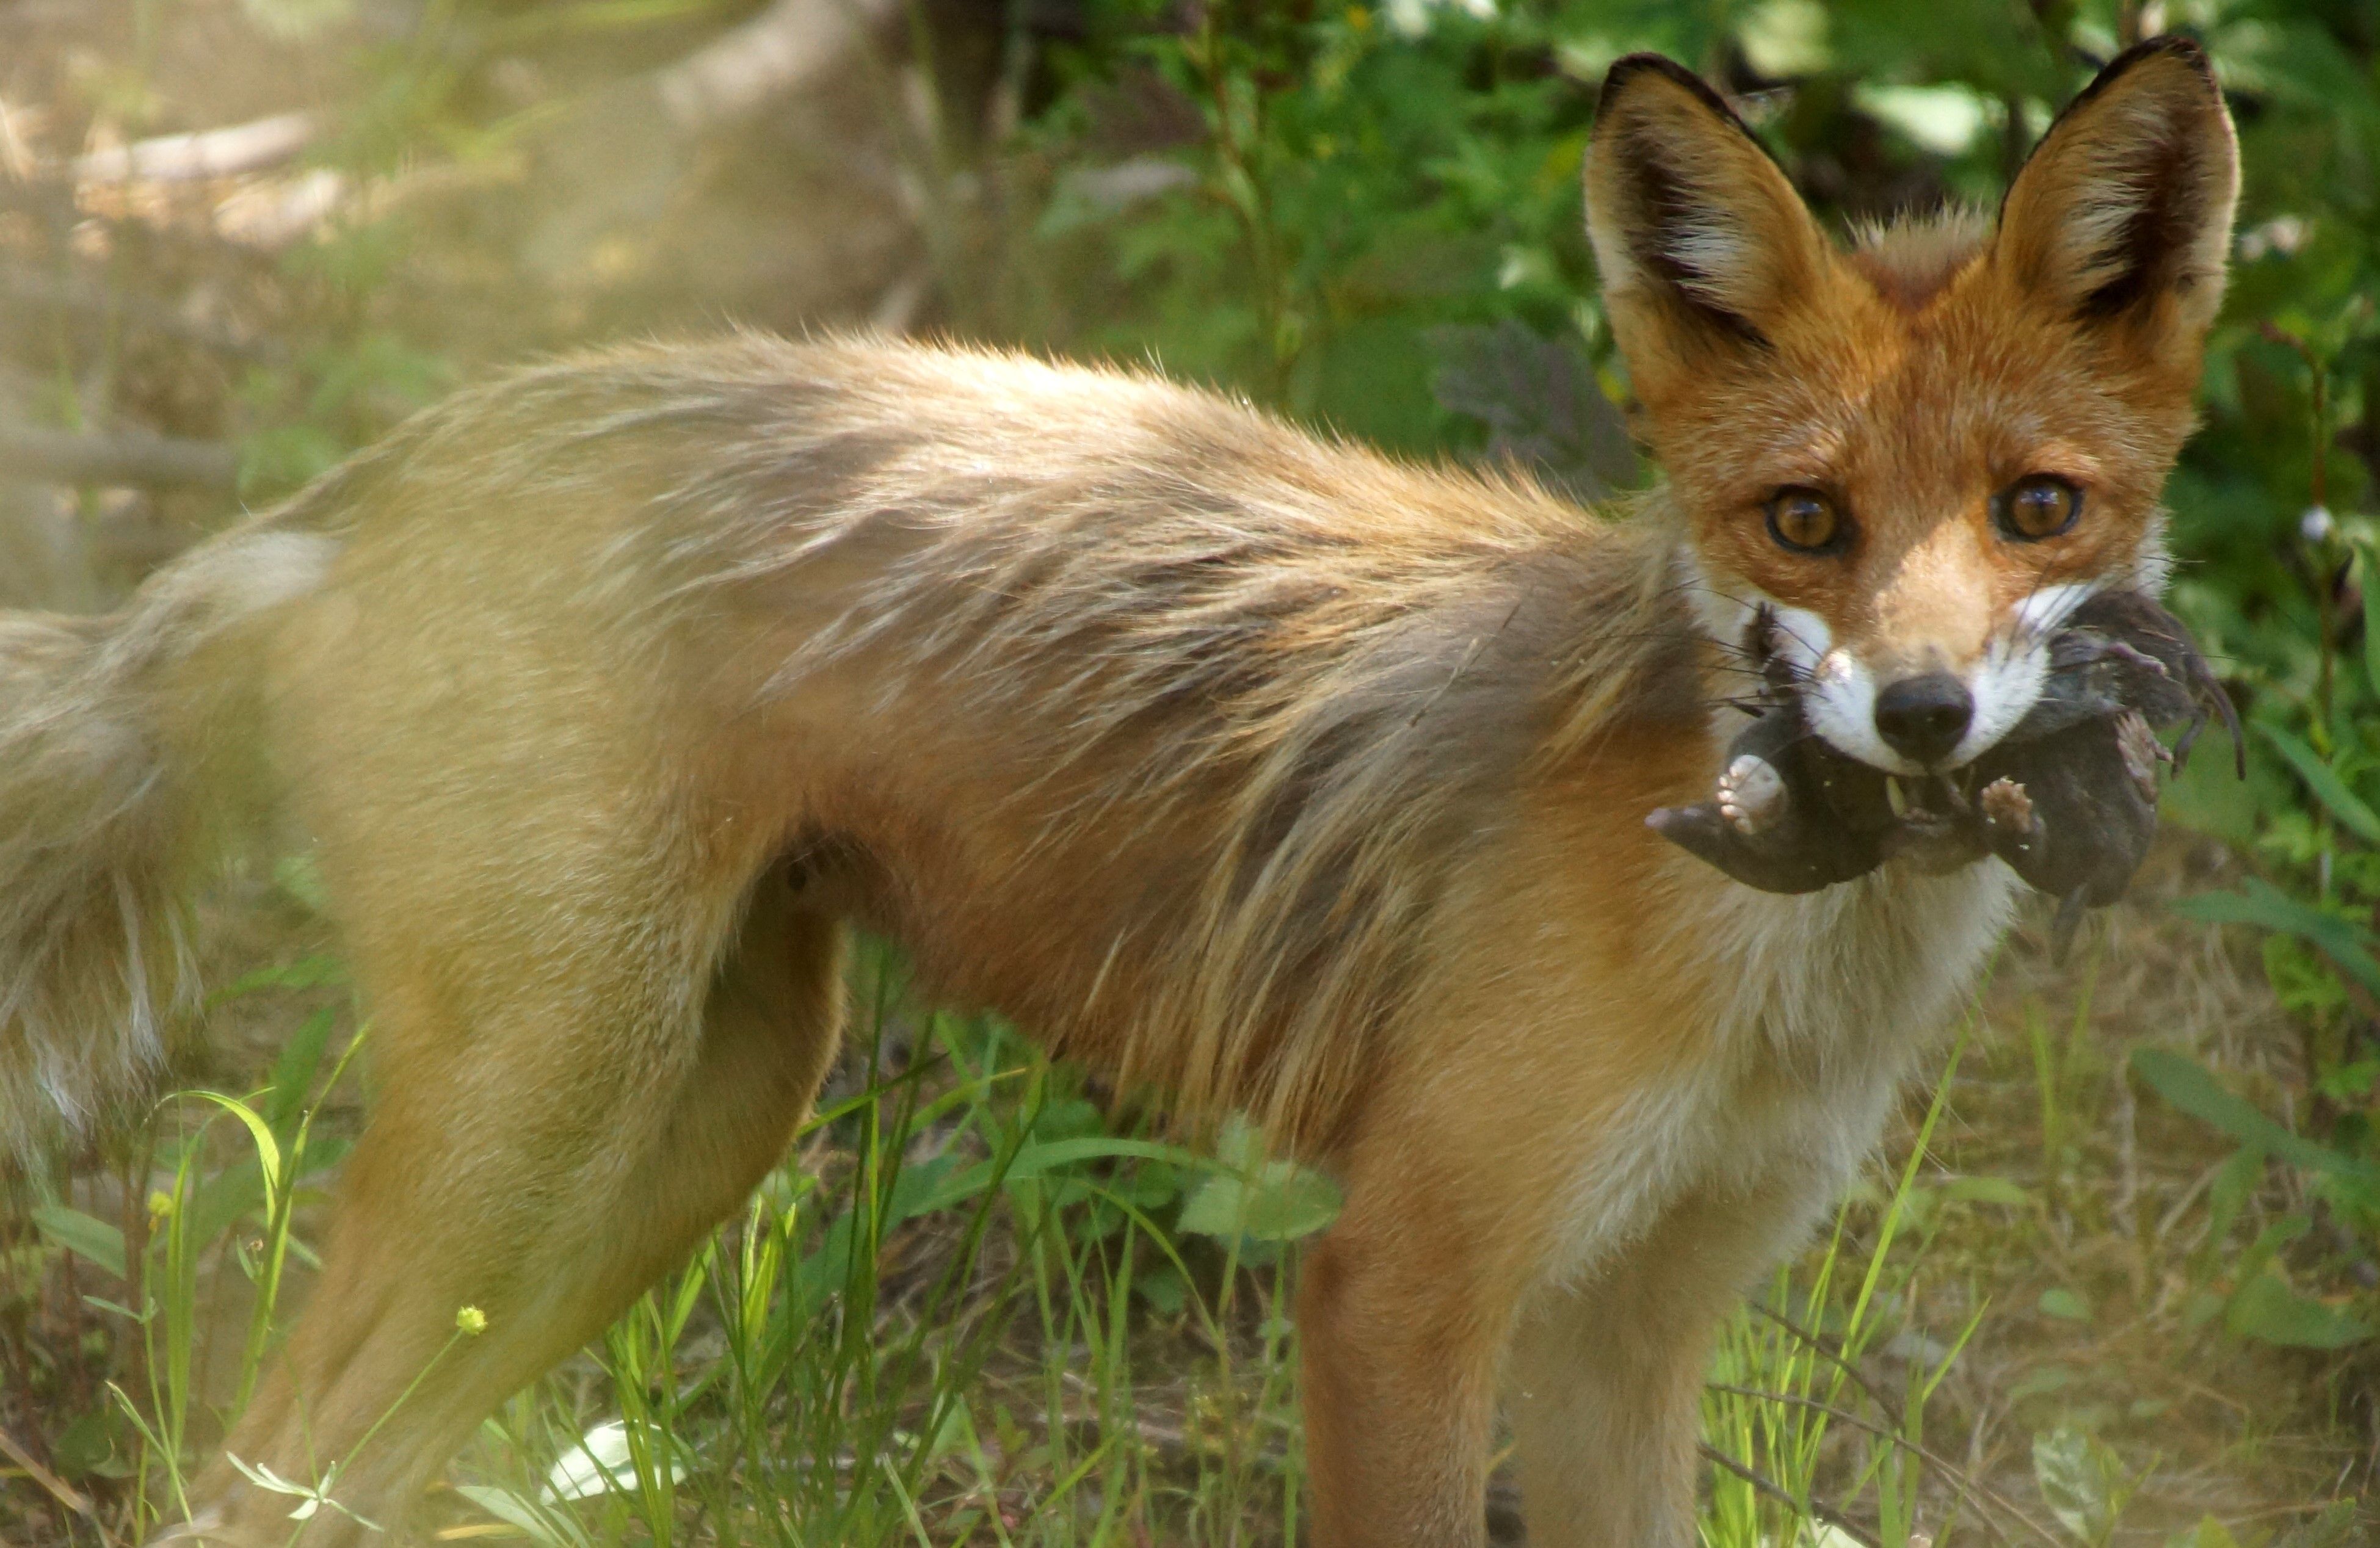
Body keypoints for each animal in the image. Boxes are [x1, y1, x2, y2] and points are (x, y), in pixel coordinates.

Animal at [0, 36, 2227, 1548]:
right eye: (1802, 521)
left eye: (2037, 510)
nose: (1923, 717)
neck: (1770, 968)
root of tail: (383, 470)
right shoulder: (1403, 1282)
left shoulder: (1639, 1326)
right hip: (537, 1118)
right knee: (240, 1465)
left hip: (694, 1126)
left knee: (346, 1476)